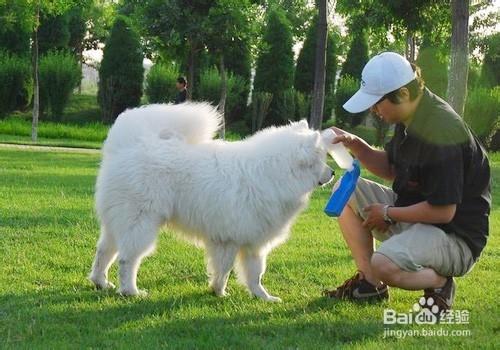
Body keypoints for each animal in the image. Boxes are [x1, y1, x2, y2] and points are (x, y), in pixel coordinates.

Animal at [90, 102, 334, 300]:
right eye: (322, 159)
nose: (332, 173)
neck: (275, 172)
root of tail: (126, 145)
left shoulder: (252, 242)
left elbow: (255, 274)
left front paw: (263, 297)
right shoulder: (230, 239)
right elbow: (225, 270)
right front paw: (220, 292)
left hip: (118, 222)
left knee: (104, 252)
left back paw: (100, 282)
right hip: (141, 222)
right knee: (127, 259)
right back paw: (130, 291)